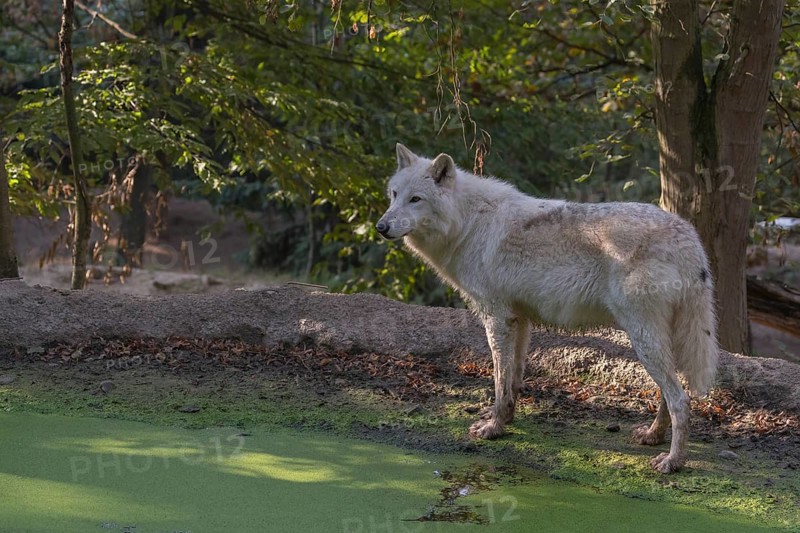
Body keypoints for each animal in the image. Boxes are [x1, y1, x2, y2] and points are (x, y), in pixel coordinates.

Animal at [376, 143, 719, 473]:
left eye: (416, 199)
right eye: (394, 195)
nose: (381, 226)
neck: (467, 224)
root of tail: (687, 236)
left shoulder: (496, 318)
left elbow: (499, 380)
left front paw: (493, 428)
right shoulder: (519, 319)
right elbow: (512, 379)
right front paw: (505, 418)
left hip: (643, 339)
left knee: (680, 400)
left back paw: (673, 461)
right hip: (656, 340)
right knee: (670, 393)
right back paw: (652, 436)